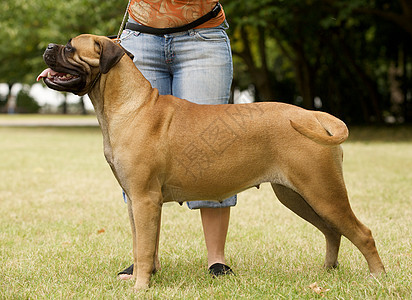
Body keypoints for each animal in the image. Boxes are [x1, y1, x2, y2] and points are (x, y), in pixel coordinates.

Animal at [37, 34, 384, 290]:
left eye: (70, 48)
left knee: (362, 232)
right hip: (299, 196)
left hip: (323, 191)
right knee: (333, 232)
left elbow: (145, 247)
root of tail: (312, 114)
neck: (127, 103)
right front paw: (141, 277)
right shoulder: (135, 201)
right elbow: (143, 244)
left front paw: (140, 287)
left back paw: (377, 277)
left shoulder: (145, 199)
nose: (49, 46)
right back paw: (328, 270)